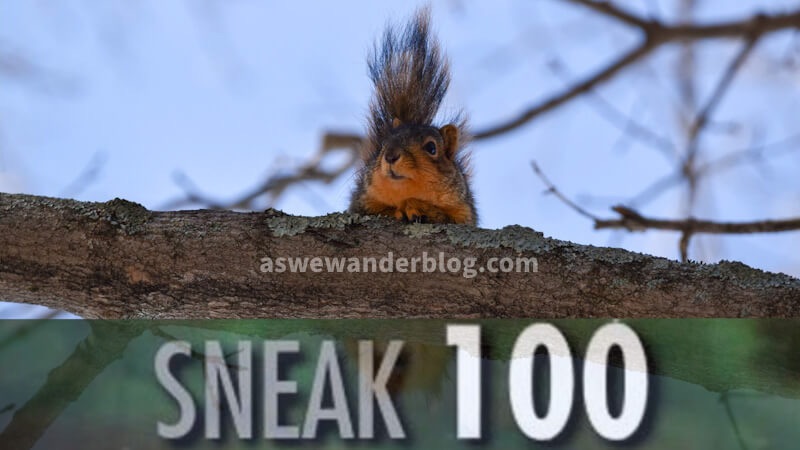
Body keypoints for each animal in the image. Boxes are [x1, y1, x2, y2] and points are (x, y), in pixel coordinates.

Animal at [349, 8, 477, 226]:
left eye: (432, 148)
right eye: (382, 145)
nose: (390, 156)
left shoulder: (464, 213)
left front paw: (418, 206)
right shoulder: (360, 204)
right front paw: (398, 209)